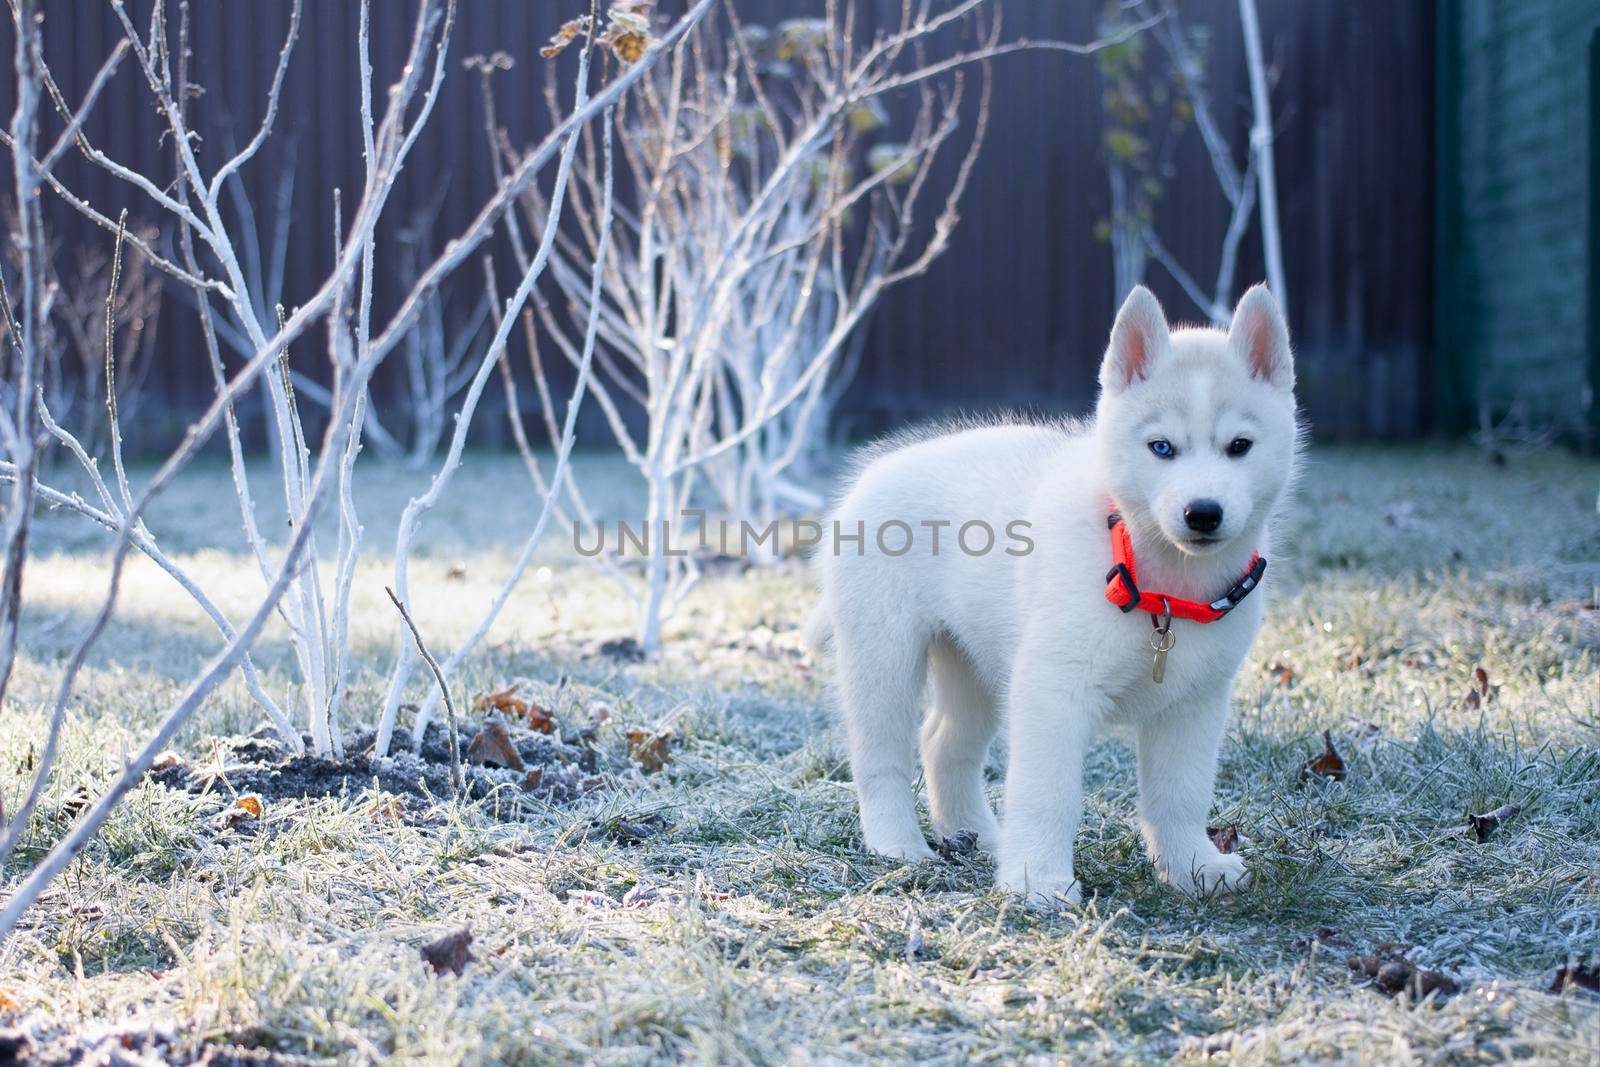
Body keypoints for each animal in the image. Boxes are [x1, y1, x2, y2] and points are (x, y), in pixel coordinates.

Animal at [812, 281, 1299, 902]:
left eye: (1240, 446)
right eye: (1162, 448)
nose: (1203, 513)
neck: (1160, 585)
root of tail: (870, 476)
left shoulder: (1195, 704)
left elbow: (1181, 795)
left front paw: (1193, 867)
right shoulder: (1053, 691)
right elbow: (1048, 793)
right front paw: (1037, 882)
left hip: (976, 665)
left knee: (943, 743)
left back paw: (979, 838)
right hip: (884, 658)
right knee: (882, 756)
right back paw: (898, 844)